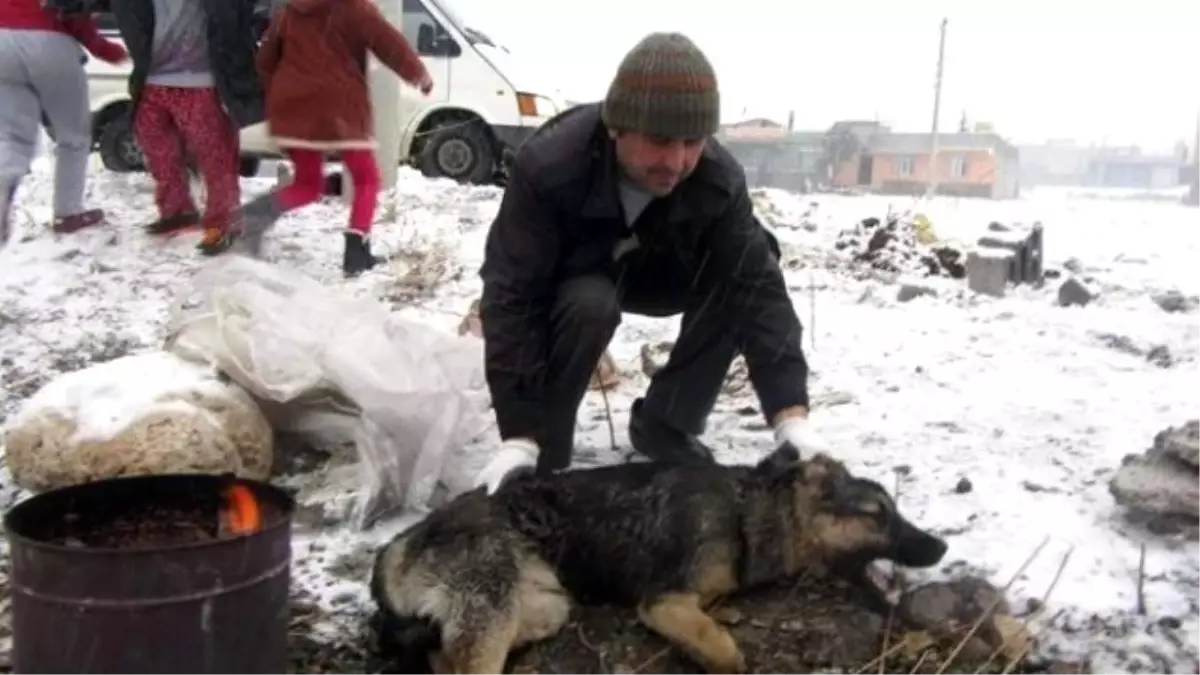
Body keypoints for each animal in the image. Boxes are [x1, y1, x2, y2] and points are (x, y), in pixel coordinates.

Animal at [369, 441, 950, 672]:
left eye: (895, 511)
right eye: (878, 515)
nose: (942, 546)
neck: (750, 512)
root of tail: (400, 543)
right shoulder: (663, 602)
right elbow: (727, 652)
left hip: (543, 607)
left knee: (442, 655)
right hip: (494, 608)